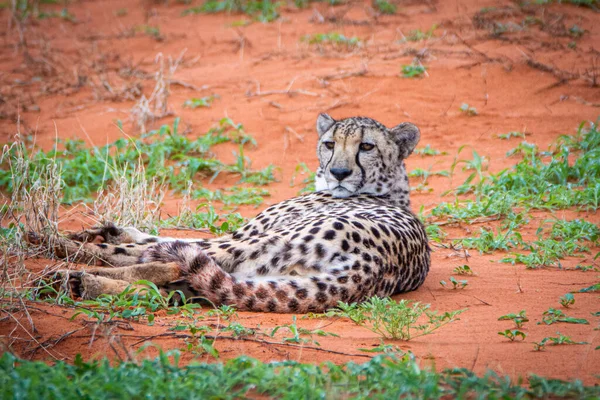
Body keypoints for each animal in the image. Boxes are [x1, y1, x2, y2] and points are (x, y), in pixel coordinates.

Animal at [47, 114, 432, 314]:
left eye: (366, 146)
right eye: (329, 144)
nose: (338, 172)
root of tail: (372, 266)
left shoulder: (242, 235)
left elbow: (161, 243)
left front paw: (79, 237)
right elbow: (161, 236)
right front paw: (110, 228)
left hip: (260, 244)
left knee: (164, 263)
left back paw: (60, 258)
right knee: (177, 288)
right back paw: (85, 282)